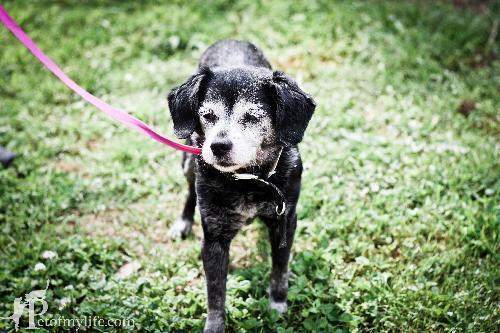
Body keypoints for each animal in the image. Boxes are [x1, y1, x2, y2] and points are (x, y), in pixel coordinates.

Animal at [168, 39, 316, 332]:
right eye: (207, 115)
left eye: (251, 117)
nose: (218, 146)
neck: (248, 180)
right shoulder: (214, 238)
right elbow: (216, 293)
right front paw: (215, 326)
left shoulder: (285, 221)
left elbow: (279, 269)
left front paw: (277, 305)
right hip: (188, 162)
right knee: (189, 192)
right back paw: (183, 222)